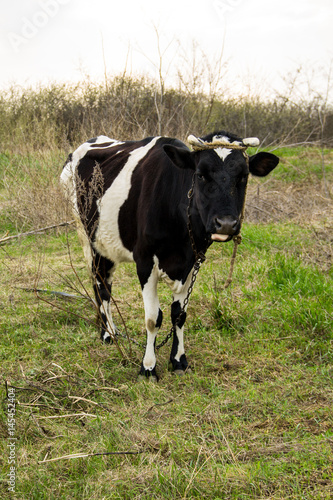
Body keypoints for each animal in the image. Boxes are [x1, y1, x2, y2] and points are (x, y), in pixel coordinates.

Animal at [60, 131, 278, 380]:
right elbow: (153, 318)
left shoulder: (192, 262)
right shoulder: (145, 262)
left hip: (106, 245)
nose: (225, 224)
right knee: (101, 286)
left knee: (104, 281)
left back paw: (107, 330)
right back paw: (108, 334)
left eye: (243, 176)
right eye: (200, 175)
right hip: (86, 236)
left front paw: (178, 360)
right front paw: (148, 367)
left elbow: (179, 315)